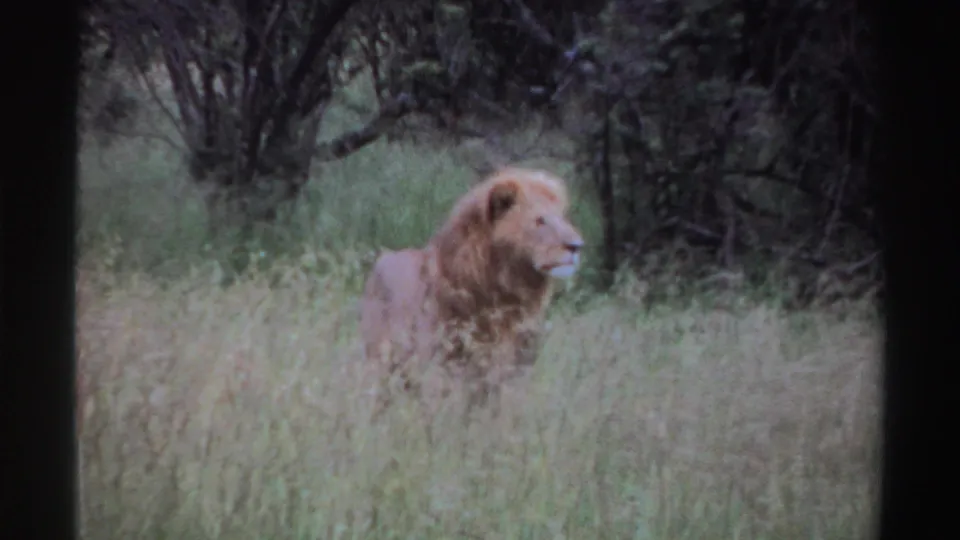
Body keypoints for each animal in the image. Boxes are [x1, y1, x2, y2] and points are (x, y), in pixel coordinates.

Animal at [359, 167, 585, 420]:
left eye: (563, 218)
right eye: (539, 220)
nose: (577, 246)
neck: (508, 292)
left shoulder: (514, 369)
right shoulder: (442, 367)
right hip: (380, 367)